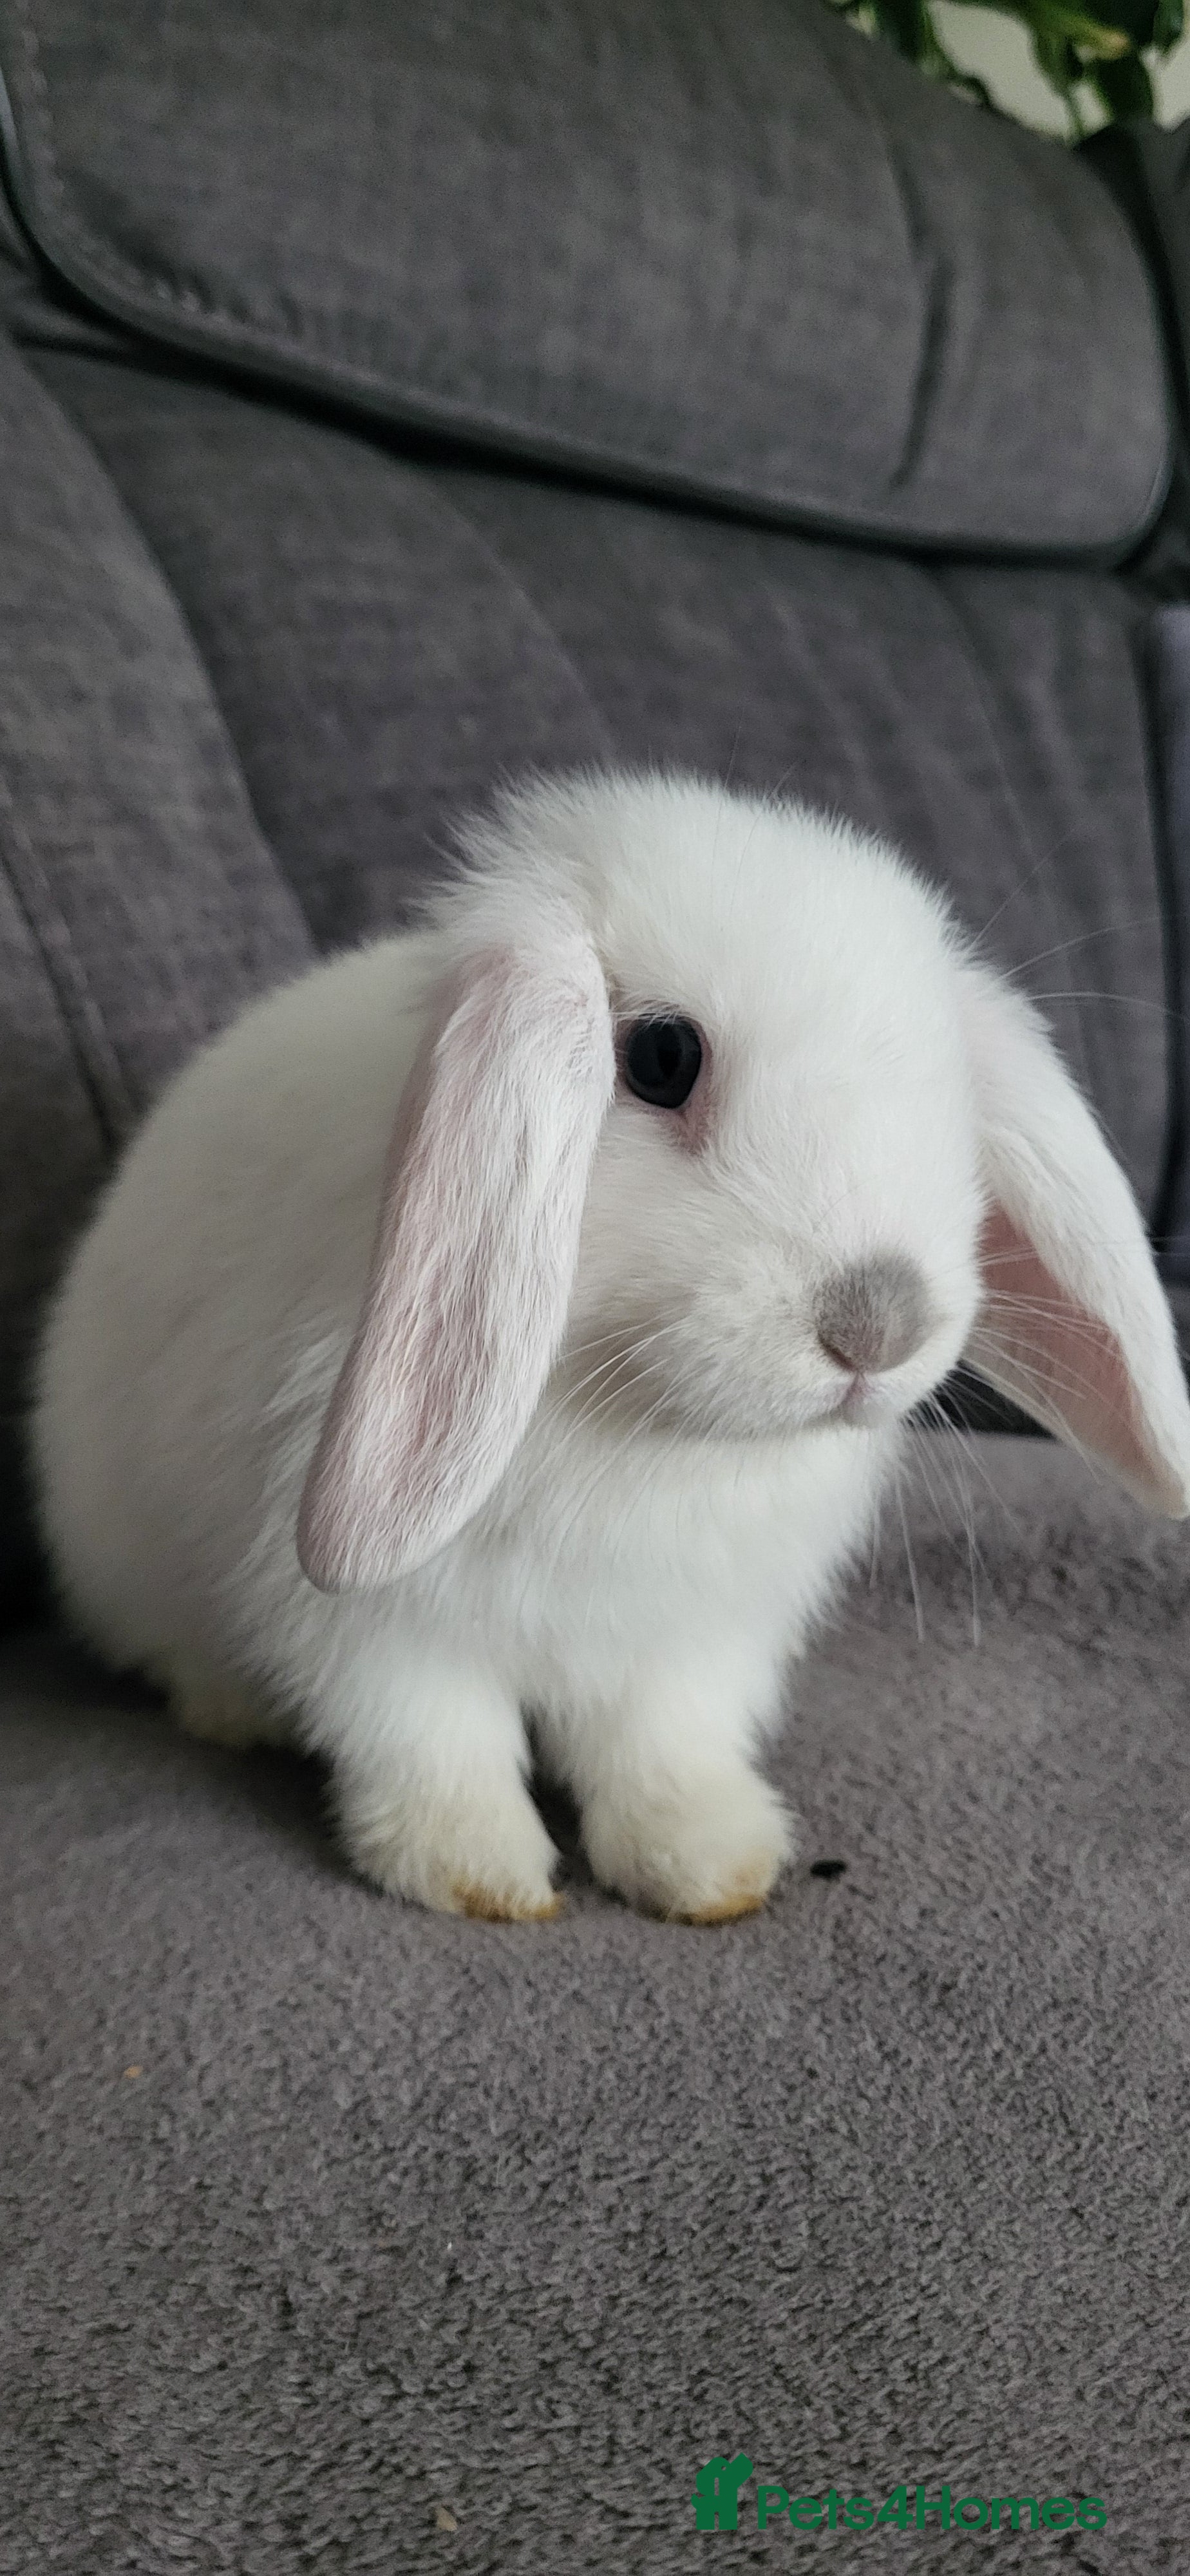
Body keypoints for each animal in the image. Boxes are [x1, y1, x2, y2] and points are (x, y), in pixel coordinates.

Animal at [31, 768, 1190, 1923]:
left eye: (948, 1087)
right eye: (661, 1058)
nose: (879, 1322)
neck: (638, 1422)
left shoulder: (693, 1638)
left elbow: (663, 1750)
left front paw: (712, 1867)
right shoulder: (367, 1627)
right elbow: (432, 1741)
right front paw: (478, 1876)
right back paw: (233, 1712)